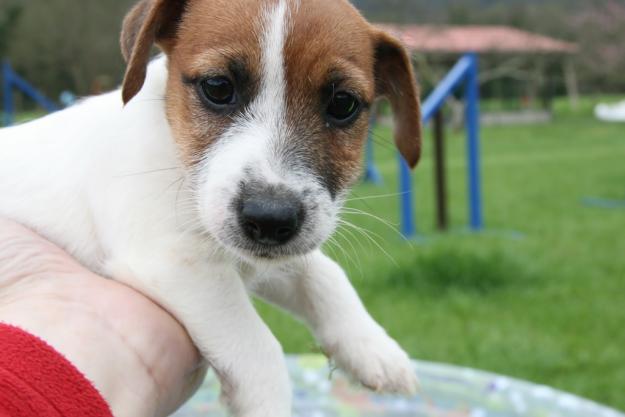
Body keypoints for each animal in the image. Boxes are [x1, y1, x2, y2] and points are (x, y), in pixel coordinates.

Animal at [0, 0, 422, 414]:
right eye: (218, 88)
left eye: (343, 103)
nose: (271, 218)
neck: (176, 154)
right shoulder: (175, 263)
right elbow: (261, 348)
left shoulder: (262, 257)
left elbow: (324, 275)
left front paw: (374, 349)